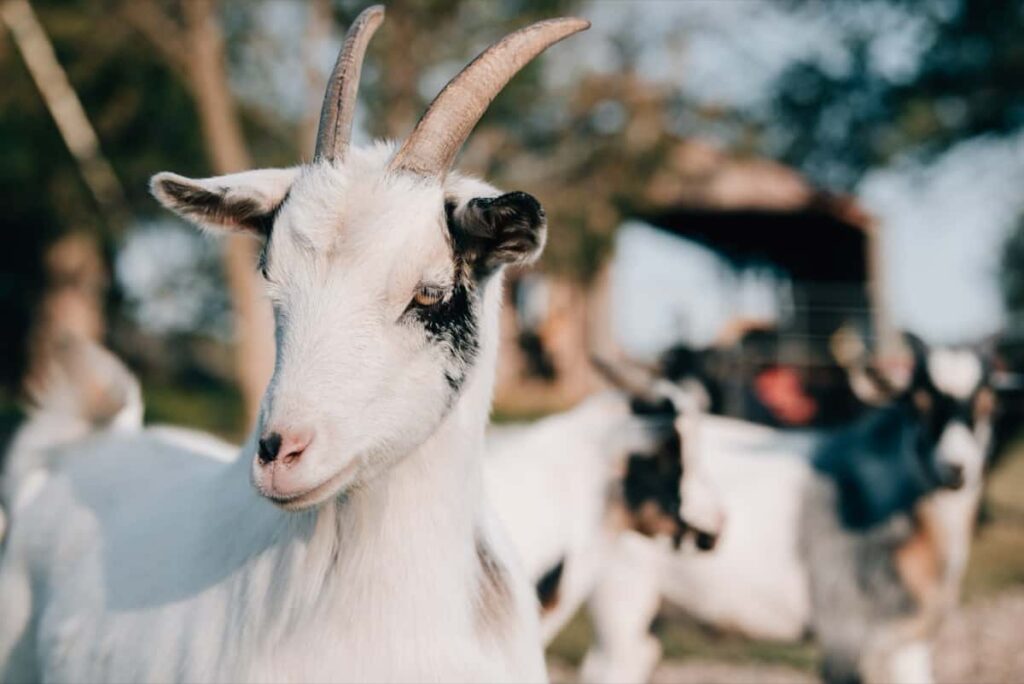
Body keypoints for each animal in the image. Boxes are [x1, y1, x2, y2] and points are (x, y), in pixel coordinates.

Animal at [581, 335, 996, 684]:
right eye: (918, 406)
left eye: (984, 406)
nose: (957, 468)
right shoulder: (848, 634)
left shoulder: (910, 640)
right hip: (620, 589)